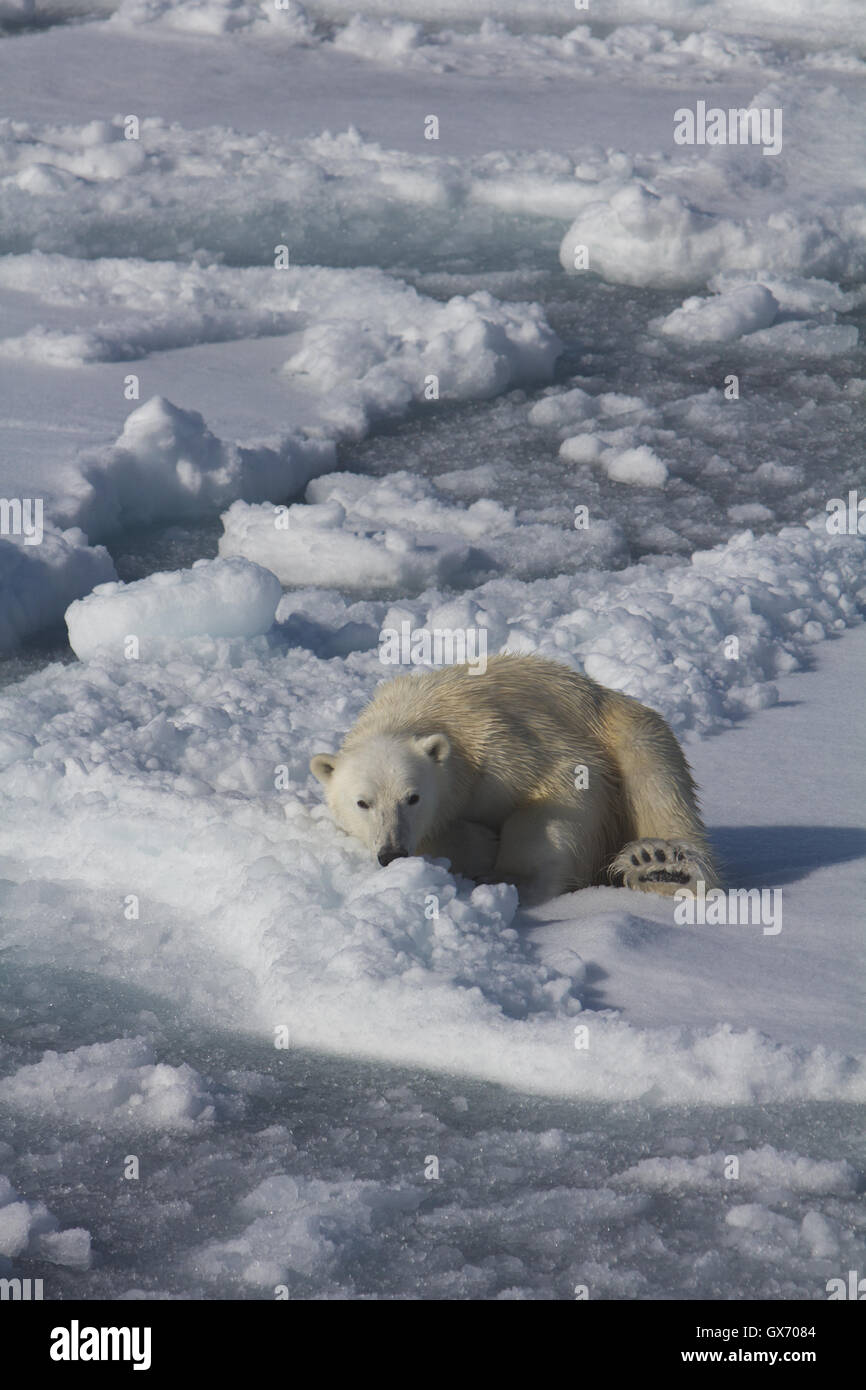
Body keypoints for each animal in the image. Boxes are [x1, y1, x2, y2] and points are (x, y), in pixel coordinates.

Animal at [309, 656, 717, 906]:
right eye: (363, 802)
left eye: (412, 797)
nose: (391, 853)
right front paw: (478, 846)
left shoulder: (498, 742)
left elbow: (562, 786)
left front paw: (511, 877)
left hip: (629, 729)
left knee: (657, 785)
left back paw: (660, 865)